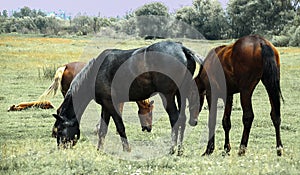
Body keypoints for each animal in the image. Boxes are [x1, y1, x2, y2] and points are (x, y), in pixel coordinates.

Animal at [52, 41, 202, 154]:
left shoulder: (111, 104)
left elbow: (120, 126)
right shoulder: (106, 105)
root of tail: (182, 49)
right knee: (182, 119)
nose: (61, 148)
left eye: (60, 129)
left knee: (175, 118)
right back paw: (180, 150)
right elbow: (103, 129)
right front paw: (99, 150)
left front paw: (127, 149)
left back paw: (172, 149)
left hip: (168, 96)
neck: (95, 73)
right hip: (180, 94)